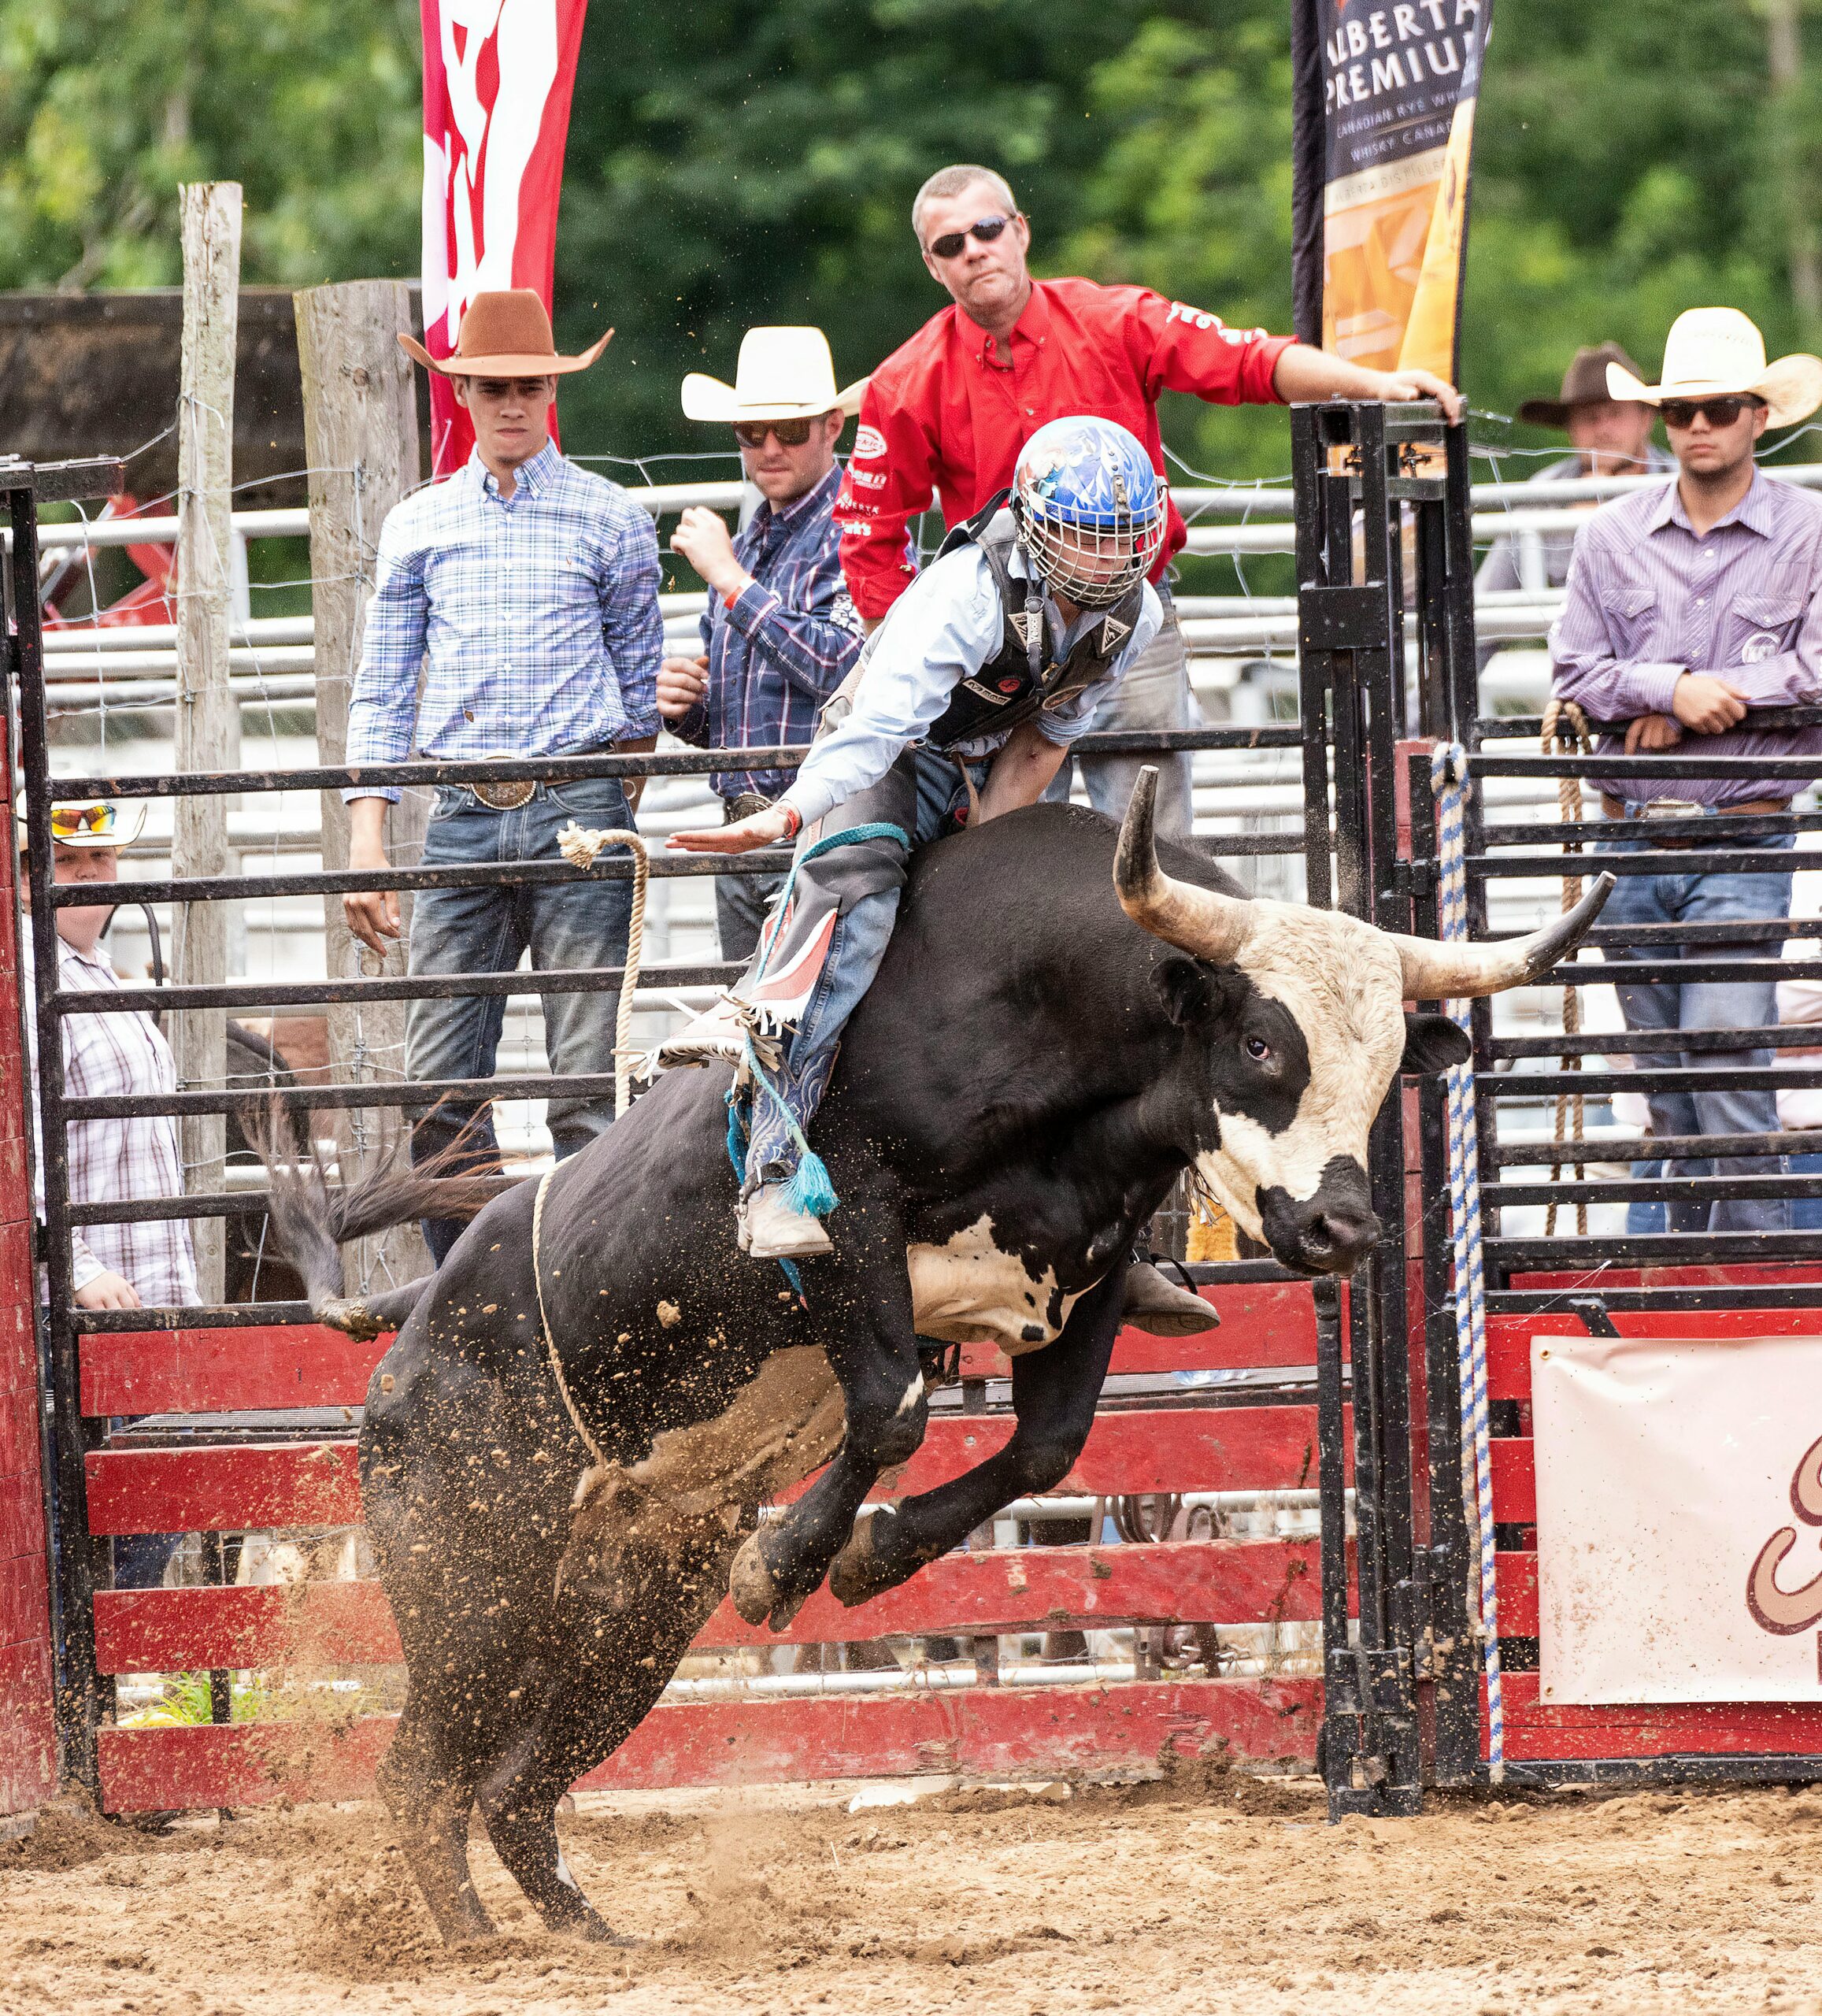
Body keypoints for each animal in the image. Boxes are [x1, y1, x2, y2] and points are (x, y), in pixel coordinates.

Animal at [260, 769, 1609, 1944]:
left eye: (1382, 1067)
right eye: (1264, 1047)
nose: (1341, 1229)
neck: (1057, 1030)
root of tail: (411, 1326)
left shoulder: (1086, 1271)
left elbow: (1042, 1447)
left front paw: (864, 1557)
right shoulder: (843, 1217)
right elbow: (896, 1409)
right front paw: (789, 1563)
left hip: (628, 1615)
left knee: (514, 1788)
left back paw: (589, 1936)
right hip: (468, 1580)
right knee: (420, 1773)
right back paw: (470, 1939)